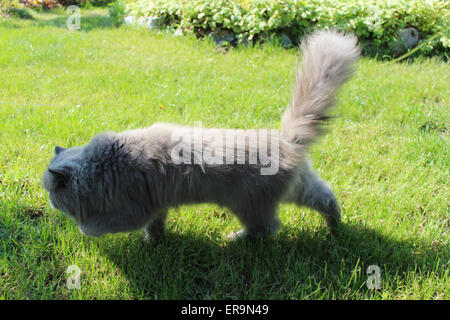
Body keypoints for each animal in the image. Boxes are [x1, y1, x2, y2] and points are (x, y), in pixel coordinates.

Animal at [42, 30, 358, 242]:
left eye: (51, 191)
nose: (49, 201)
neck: (106, 163)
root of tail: (284, 140)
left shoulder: (131, 210)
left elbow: (98, 226)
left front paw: (84, 230)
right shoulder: (155, 206)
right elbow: (155, 227)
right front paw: (153, 242)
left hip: (249, 205)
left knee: (266, 229)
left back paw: (234, 239)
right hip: (301, 188)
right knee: (327, 198)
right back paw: (335, 228)